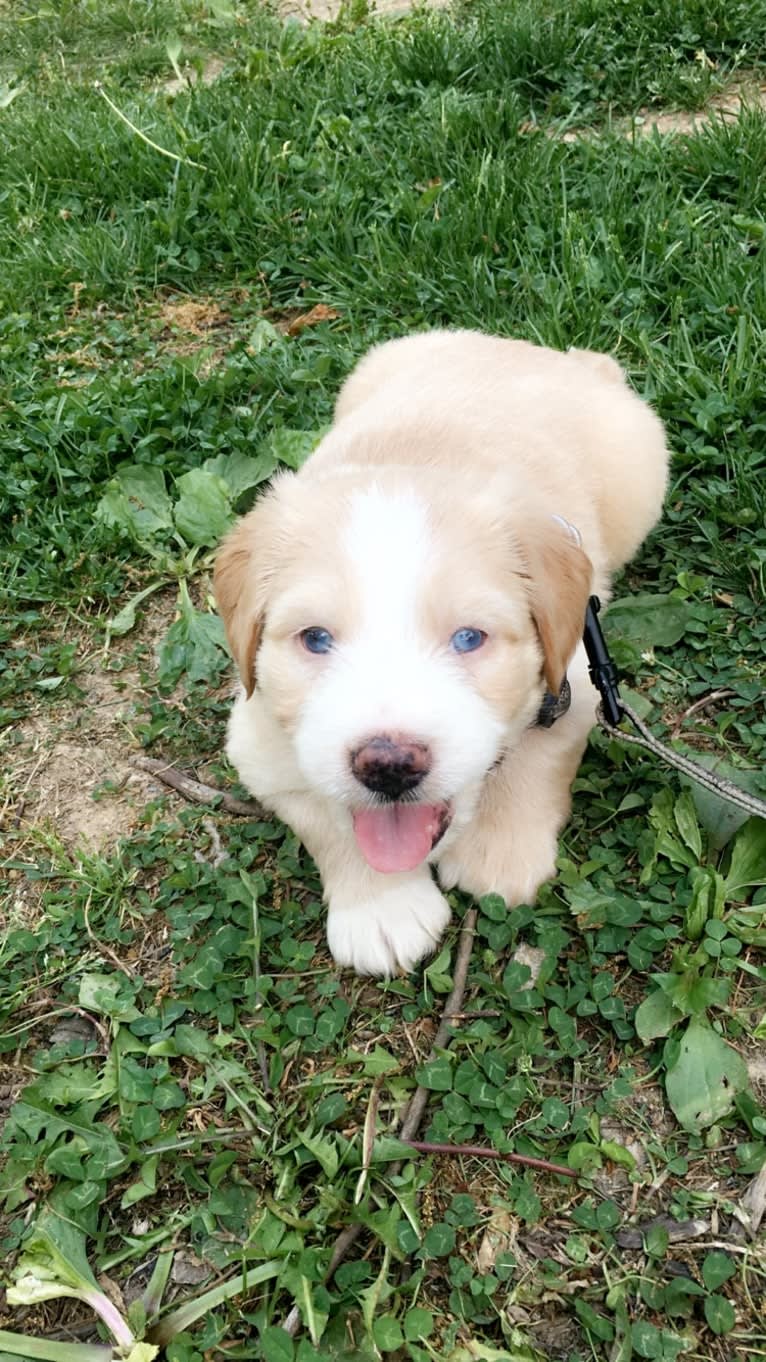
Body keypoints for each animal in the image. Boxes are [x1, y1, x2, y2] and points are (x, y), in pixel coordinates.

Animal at [211, 328, 665, 969]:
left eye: (469, 638)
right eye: (315, 639)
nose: (389, 765)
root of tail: (554, 354)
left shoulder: (575, 675)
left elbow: (533, 760)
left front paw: (497, 854)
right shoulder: (258, 741)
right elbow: (325, 819)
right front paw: (382, 909)